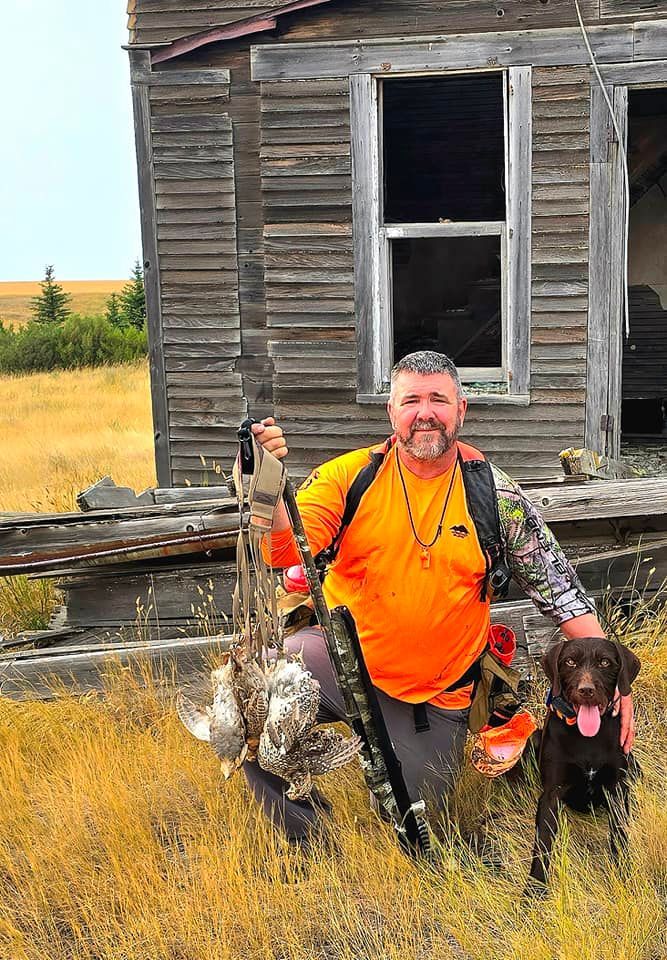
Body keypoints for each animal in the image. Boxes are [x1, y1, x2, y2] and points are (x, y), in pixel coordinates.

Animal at [526, 635, 641, 891]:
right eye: (570, 661)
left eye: (605, 662)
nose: (586, 690)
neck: (588, 738)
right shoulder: (552, 794)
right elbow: (542, 844)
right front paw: (534, 889)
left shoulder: (616, 788)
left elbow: (619, 834)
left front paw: (624, 876)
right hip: (533, 738)